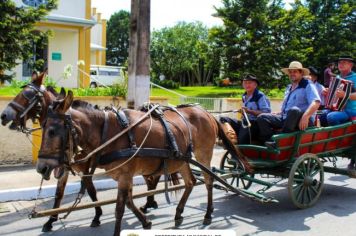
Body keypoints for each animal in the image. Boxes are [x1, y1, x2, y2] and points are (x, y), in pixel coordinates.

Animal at [36, 90, 250, 234]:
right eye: (43, 126)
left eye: (53, 131)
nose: (41, 167)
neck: (108, 132)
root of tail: (206, 113)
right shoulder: (124, 175)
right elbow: (129, 202)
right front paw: (146, 221)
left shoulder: (125, 175)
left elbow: (120, 208)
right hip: (182, 159)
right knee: (190, 182)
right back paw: (179, 213)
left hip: (203, 153)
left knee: (208, 181)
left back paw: (207, 214)